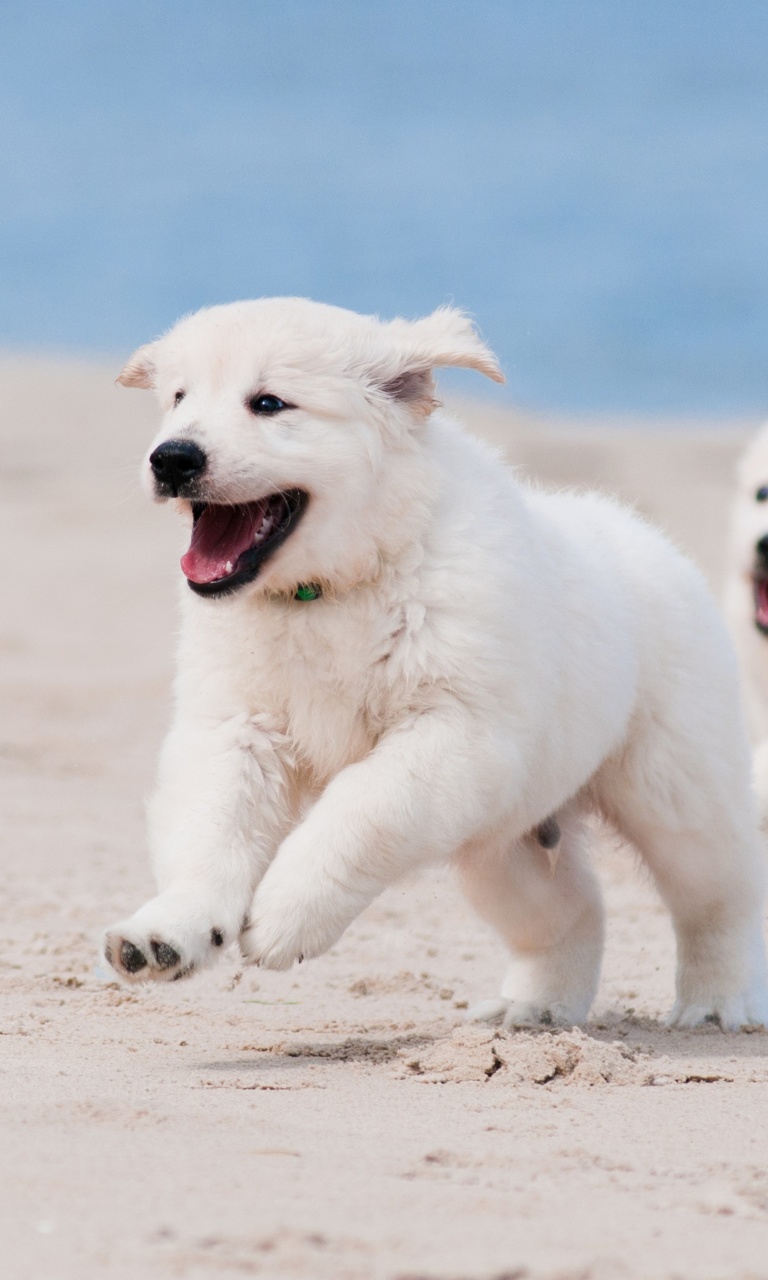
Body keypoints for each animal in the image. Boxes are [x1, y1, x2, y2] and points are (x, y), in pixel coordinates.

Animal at [103, 296, 768, 1029]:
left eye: (270, 403)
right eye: (178, 399)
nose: (171, 458)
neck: (329, 593)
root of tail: (650, 539)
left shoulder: (455, 731)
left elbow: (360, 810)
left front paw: (285, 914)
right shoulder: (235, 728)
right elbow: (210, 826)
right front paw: (169, 930)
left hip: (675, 789)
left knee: (721, 892)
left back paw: (717, 1002)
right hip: (504, 841)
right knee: (572, 911)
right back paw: (533, 1010)